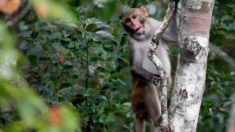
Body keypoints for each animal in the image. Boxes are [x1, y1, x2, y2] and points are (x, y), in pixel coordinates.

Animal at [120, 2, 179, 132]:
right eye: (127, 21)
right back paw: (158, 120)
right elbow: (134, 67)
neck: (144, 36)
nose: (134, 25)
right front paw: (151, 77)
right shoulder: (131, 42)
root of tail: (136, 113)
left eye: (134, 17)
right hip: (136, 101)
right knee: (146, 86)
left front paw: (176, 3)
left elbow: (174, 36)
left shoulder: (155, 25)